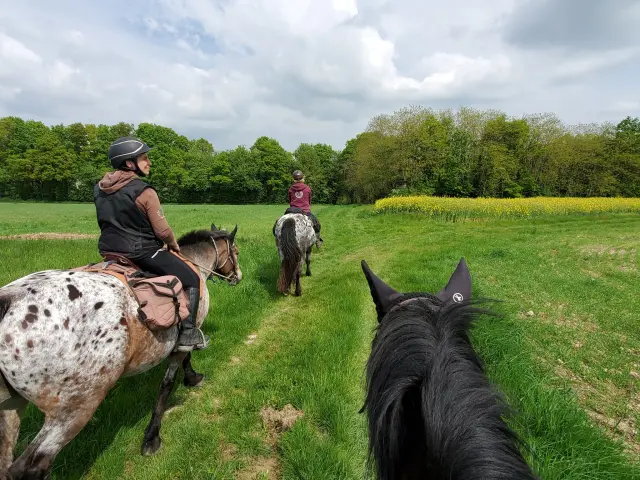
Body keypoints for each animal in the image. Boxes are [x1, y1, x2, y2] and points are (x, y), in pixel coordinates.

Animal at [0, 223, 242, 479]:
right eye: (235, 252)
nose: (238, 276)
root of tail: (10, 301)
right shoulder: (188, 332)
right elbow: (170, 380)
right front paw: (152, 437)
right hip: (74, 408)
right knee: (31, 465)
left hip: (10, 410)